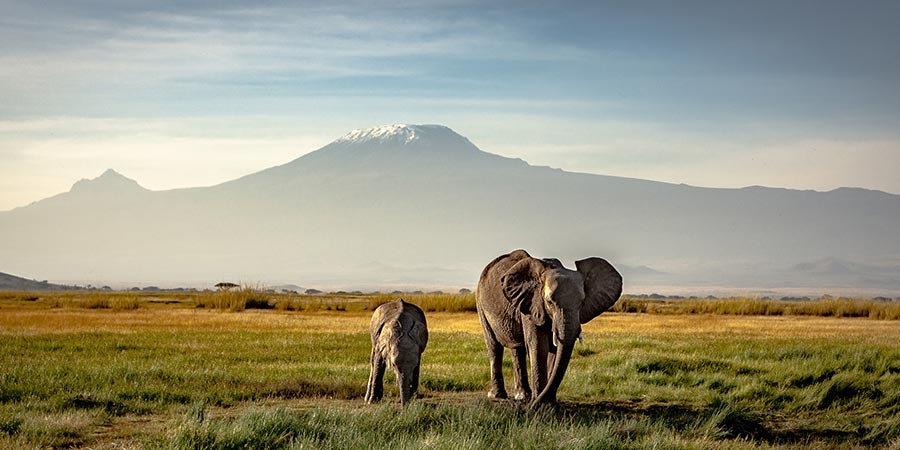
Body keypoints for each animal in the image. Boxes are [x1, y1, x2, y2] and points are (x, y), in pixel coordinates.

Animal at [478, 250, 620, 408]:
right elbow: (539, 346)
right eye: (549, 302)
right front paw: (540, 405)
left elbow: (555, 350)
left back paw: (522, 397)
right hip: (481, 304)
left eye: (582, 302)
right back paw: (498, 396)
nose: (531, 406)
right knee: (494, 346)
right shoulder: (531, 305)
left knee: (517, 349)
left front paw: (548, 403)